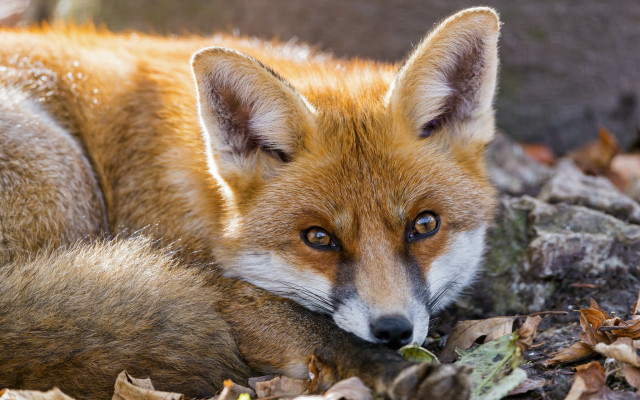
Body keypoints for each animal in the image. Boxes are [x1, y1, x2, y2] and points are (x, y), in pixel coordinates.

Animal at [0, 6, 499, 400]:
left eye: (424, 225)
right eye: (318, 238)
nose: (393, 330)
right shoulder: (207, 280)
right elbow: (322, 330)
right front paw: (406, 376)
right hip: (69, 181)